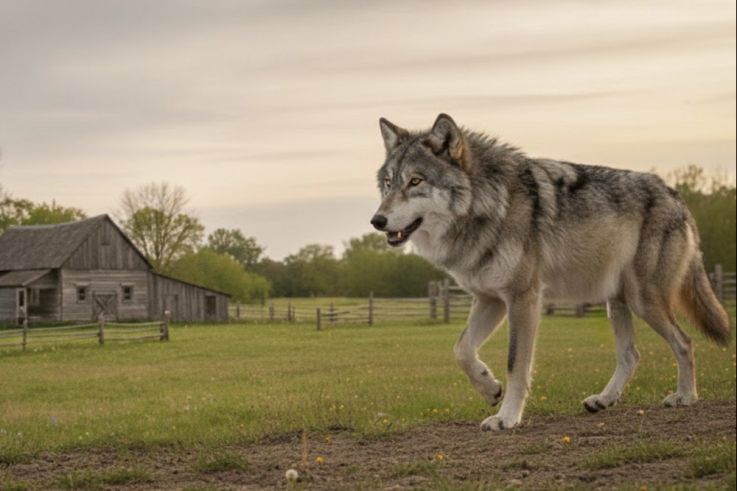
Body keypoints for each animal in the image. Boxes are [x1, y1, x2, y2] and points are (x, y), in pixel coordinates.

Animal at [371, 113, 732, 431]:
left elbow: (516, 364)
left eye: (415, 181)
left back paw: (685, 397)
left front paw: (507, 418)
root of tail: (675, 195)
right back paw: (603, 400)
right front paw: (490, 389)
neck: (488, 205)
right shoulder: (490, 300)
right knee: (631, 355)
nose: (377, 220)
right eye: (388, 183)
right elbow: (461, 351)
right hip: (616, 302)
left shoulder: (522, 299)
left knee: (685, 342)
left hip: (644, 300)